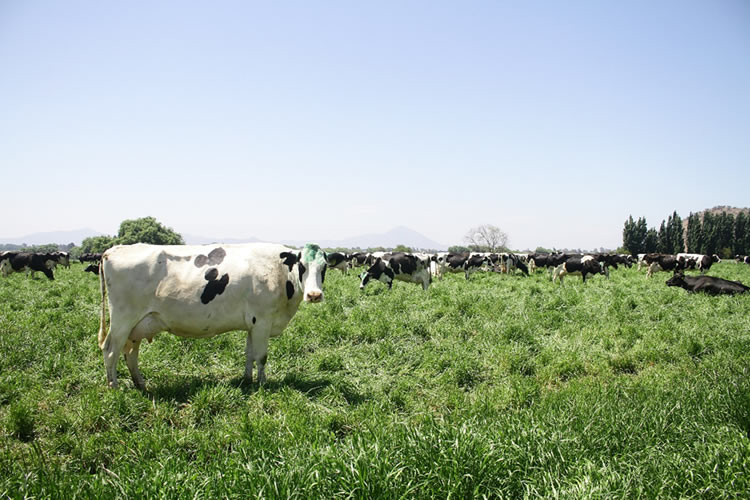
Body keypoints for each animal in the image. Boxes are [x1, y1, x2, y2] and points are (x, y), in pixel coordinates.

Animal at [97, 243, 332, 390]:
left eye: (324, 267)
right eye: (302, 266)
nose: (314, 295)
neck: (279, 271)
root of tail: (112, 250)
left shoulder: (253, 323)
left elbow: (249, 354)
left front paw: (248, 381)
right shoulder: (263, 321)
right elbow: (261, 356)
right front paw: (263, 384)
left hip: (138, 325)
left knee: (130, 353)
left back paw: (140, 384)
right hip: (122, 320)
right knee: (110, 351)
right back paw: (113, 387)